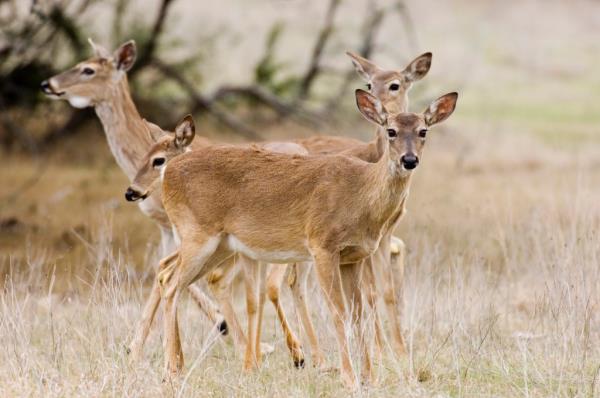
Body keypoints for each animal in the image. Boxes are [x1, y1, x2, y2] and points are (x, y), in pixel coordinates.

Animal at [125, 88, 454, 388]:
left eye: (423, 130)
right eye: (391, 131)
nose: (409, 160)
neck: (360, 193)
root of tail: (169, 172)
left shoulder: (354, 257)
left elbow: (359, 316)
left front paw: (369, 378)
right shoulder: (322, 246)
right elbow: (338, 313)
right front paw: (348, 378)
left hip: (219, 244)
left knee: (169, 275)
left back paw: (174, 365)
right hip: (197, 235)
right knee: (171, 284)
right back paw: (171, 370)